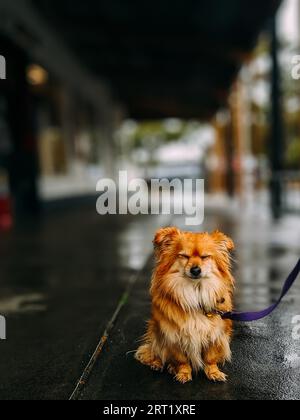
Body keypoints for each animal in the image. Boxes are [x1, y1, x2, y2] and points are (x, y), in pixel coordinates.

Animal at [135, 228, 236, 382]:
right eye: (184, 256)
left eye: (205, 257)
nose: (195, 270)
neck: (195, 292)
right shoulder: (173, 336)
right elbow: (181, 359)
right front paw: (183, 373)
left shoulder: (215, 334)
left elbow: (210, 358)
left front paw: (213, 372)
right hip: (155, 331)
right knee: (157, 351)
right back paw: (160, 364)